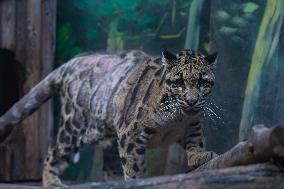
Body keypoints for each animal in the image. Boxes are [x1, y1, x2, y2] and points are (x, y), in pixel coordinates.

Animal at [0, 48, 217, 186]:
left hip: (109, 136)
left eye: (202, 82)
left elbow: (196, 142)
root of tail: (73, 61)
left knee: (110, 165)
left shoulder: (193, 125)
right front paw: (138, 181)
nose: (192, 100)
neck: (178, 117)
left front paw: (199, 156)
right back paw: (52, 182)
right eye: (179, 82)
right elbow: (134, 167)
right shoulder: (131, 135)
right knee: (54, 153)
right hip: (73, 127)